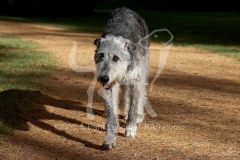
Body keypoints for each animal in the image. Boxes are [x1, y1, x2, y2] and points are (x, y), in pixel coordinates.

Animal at [93, 6, 149, 149]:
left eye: (115, 58)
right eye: (101, 56)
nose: (103, 78)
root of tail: (125, 8)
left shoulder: (136, 81)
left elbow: (133, 107)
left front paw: (131, 128)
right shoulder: (111, 85)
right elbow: (111, 114)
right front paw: (110, 138)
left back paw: (139, 117)